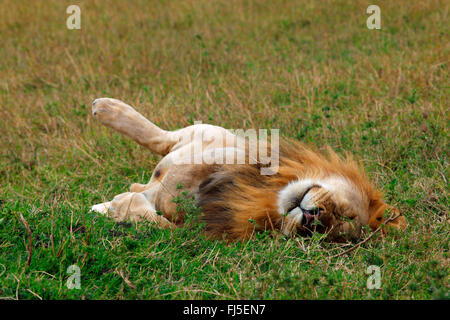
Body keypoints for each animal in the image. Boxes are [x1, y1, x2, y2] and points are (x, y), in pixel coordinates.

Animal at [89, 97, 406, 240]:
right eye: (344, 212)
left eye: (320, 234)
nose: (312, 219)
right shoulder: (222, 145)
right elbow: (236, 156)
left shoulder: (192, 233)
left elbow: (149, 212)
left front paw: (117, 206)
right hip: (203, 132)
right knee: (161, 139)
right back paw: (105, 107)